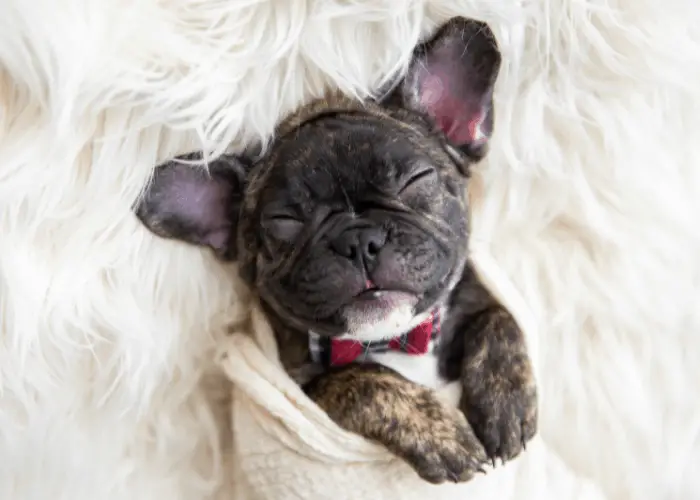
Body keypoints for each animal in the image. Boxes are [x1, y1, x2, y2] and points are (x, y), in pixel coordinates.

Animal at [135, 17, 536, 482]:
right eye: (284, 221)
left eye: (415, 180)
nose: (358, 240)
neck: (392, 341)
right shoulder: (303, 392)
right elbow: (361, 379)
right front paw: (438, 434)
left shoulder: (476, 296)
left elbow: (498, 317)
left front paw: (506, 403)